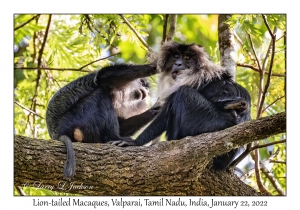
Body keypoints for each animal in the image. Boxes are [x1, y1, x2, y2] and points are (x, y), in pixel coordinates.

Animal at [111, 41, 250, 170]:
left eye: (187, 57)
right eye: (176, 56)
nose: (178, 63)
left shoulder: (195, 78)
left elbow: (166, 113)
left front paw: (135, 142)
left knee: (182, 93)